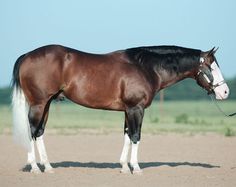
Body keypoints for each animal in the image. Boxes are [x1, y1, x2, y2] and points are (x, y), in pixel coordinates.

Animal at [12, 44, 230, 174]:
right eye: (212, 67)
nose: (225, 92)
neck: (145, 67)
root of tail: (27, 55)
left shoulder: (128, 110)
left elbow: (126, 135)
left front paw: (125, 167)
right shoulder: (136, 108)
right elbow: (136, 136)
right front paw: (137, 168)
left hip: (47, 104)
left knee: (39, 132)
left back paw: (48, 167)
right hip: (39, 103)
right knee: (32, 131)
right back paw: (35, 167)